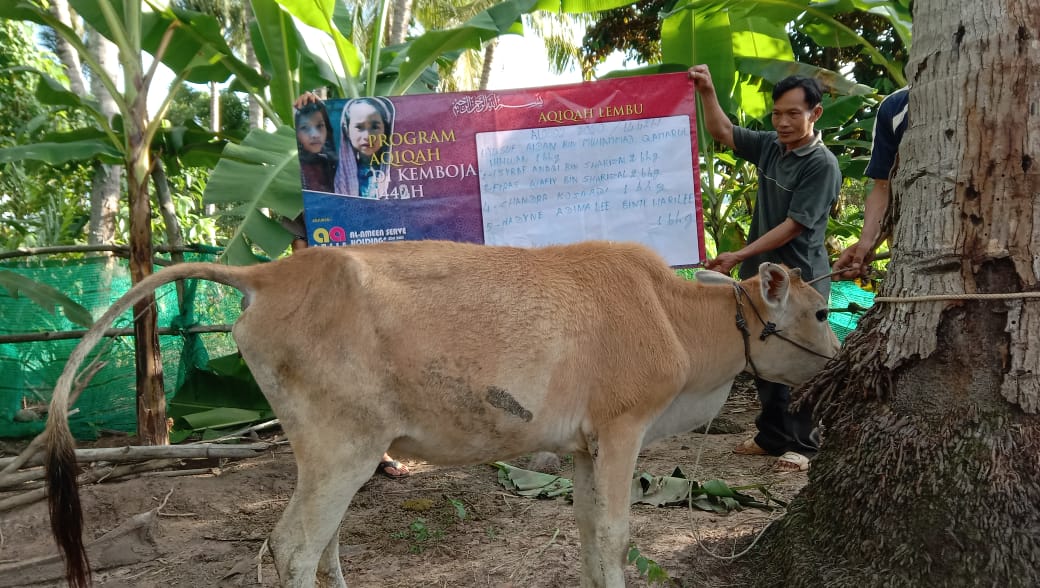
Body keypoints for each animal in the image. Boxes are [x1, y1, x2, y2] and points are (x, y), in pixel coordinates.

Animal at [40, 239, 840, 586]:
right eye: (822, 308)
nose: (839, 357)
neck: (671, 314)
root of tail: (270, 273)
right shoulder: (621, 430)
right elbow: (616, 537)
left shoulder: (583, 447)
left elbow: (589, 535)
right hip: (343, 447)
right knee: (294, 546)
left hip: (331, 450)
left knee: (319, 545)